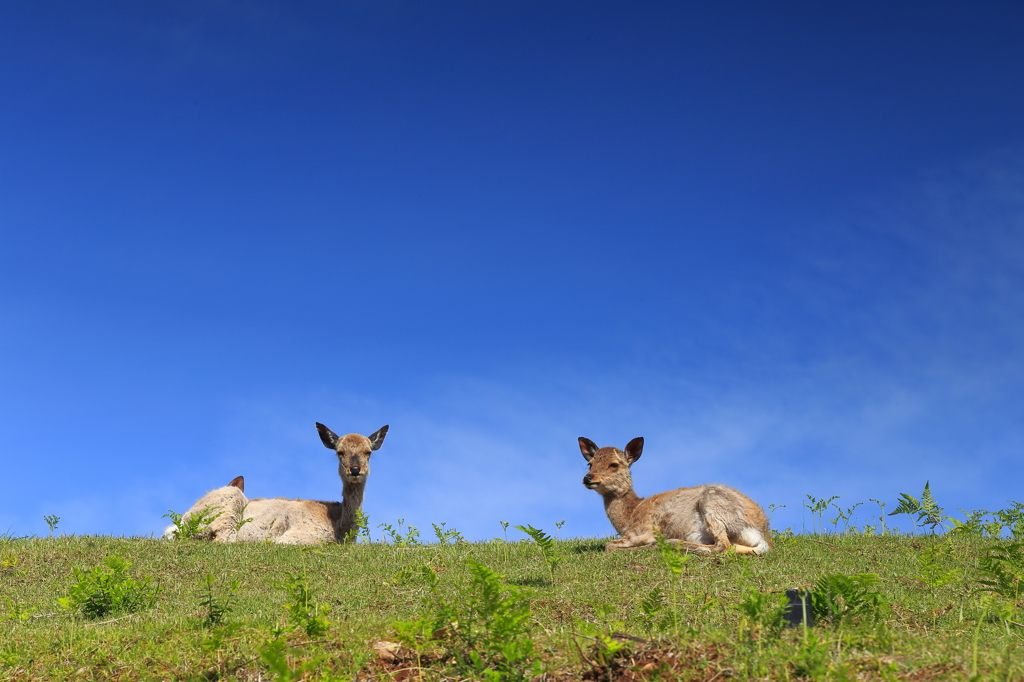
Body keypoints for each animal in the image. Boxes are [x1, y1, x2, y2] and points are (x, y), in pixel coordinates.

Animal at [172, 419, 387, 540]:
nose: (355, 469)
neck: (339, 529)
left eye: (368, 452)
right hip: (228, 502)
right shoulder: (300, 533)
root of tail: (183, 519)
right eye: (340, 452)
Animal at [581, 436, 770, 552]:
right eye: (590, 464)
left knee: (723, 546)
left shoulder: (643, 529)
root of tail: (762, 533)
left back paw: (670, 543)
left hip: (712, 504)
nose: (588, 478)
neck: (629, 517)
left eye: (614, 464)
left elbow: (609, 545)